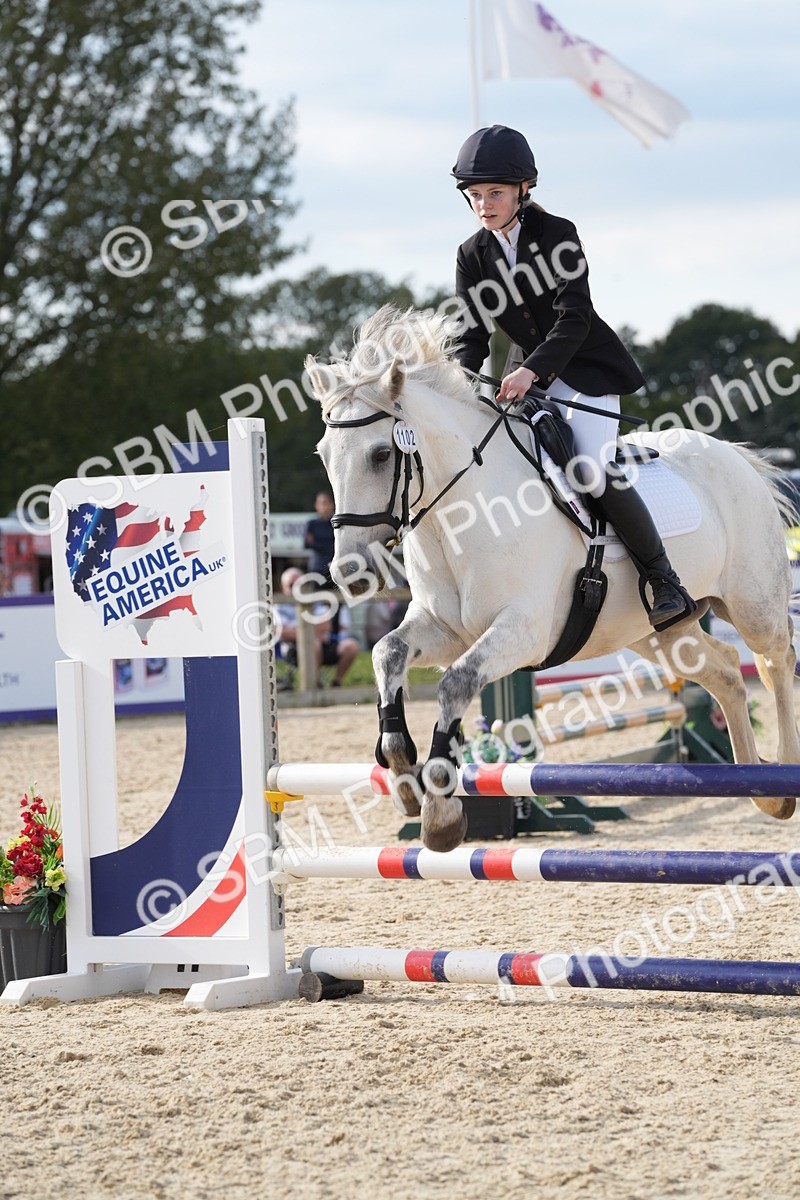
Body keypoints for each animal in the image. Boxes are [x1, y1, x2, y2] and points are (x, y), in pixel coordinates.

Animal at [306, 306, 800, 852]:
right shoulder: (446, 629)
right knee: (727, 672)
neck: (460, 513)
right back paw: (760, 787)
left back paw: (783, 779)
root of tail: (736, 455)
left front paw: (440, 811)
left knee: (775, 661)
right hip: (661, 634)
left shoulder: (524, 631)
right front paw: (402, 773)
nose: (348, 573)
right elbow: (386, 652)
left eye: (379, 454)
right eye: (323, 454)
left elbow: (456, 683)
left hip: (754, 606)